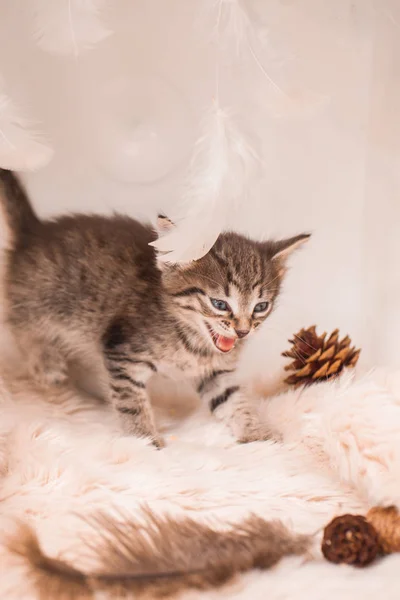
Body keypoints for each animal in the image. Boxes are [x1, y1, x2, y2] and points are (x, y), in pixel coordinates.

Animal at [0, 169, 310, 446]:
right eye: (219, 304)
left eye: (261, 306)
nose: (243, 331)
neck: (191, 342)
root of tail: (34, 231)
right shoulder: (121, 351)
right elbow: (130, 400)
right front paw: (144, 439)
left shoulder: (215, 372)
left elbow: (233, 399)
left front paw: (258, 432)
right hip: (43, 304)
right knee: (23, 329)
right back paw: (46, 365)